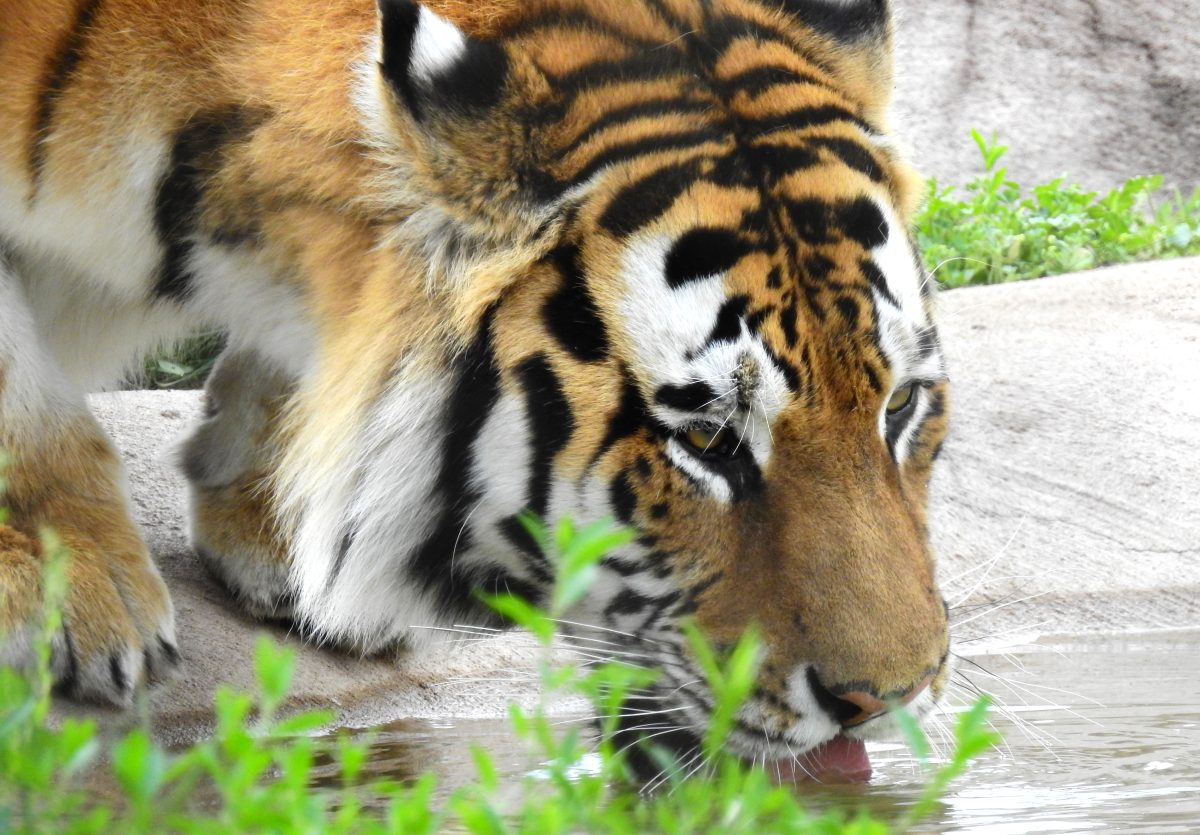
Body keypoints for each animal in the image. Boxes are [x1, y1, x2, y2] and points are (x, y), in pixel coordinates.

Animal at [0, 0, 951, 778]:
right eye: (708, 438)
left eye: (900, 405)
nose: (888, 698)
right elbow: (25, 394)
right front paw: (73, 592)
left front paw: (287, 535)